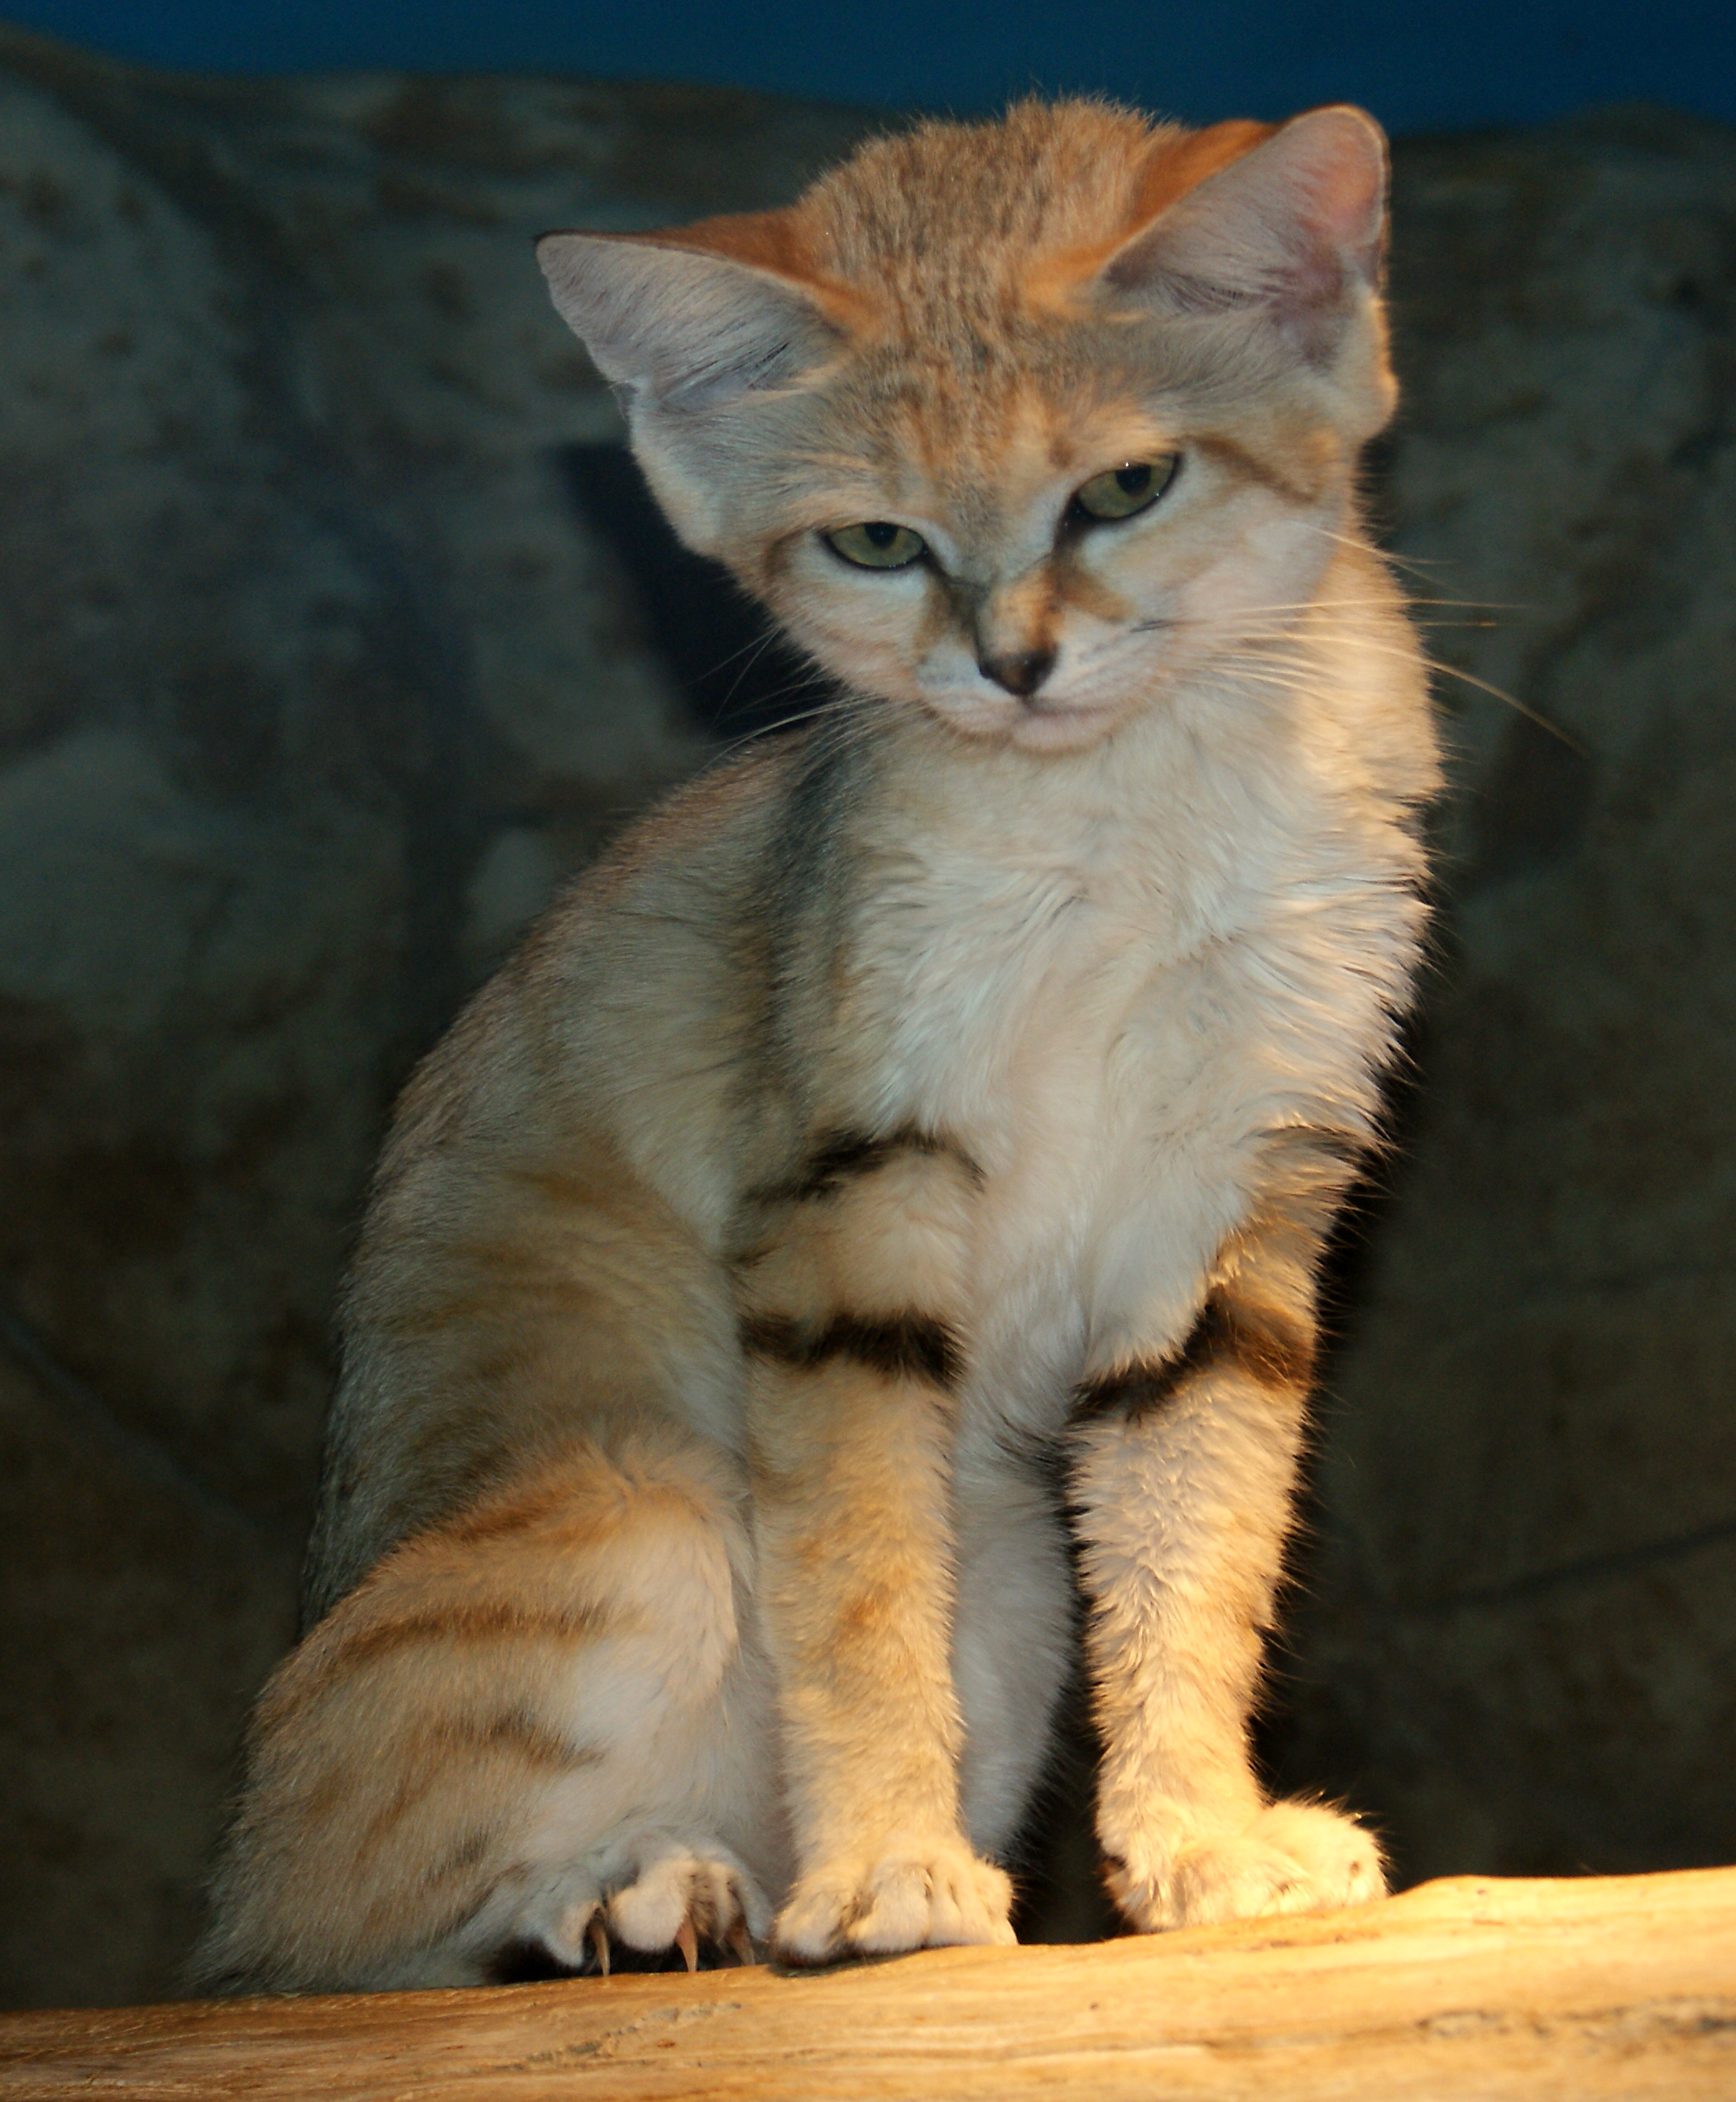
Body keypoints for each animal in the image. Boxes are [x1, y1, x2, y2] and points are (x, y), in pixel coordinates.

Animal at [192, 98, 1437, 1992]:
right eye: (876, 544)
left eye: (1123, 487)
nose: (1010, 666)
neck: (1128, 819)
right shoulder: (849, 1202)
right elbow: (854, 1592)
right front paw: (885, 1877)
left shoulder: (1234, 1216)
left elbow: (1199, 1551)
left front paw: (1201, 1848)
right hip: (643, 1519)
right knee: (327, 1949)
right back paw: (635, 1900)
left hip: (1011, 1586)